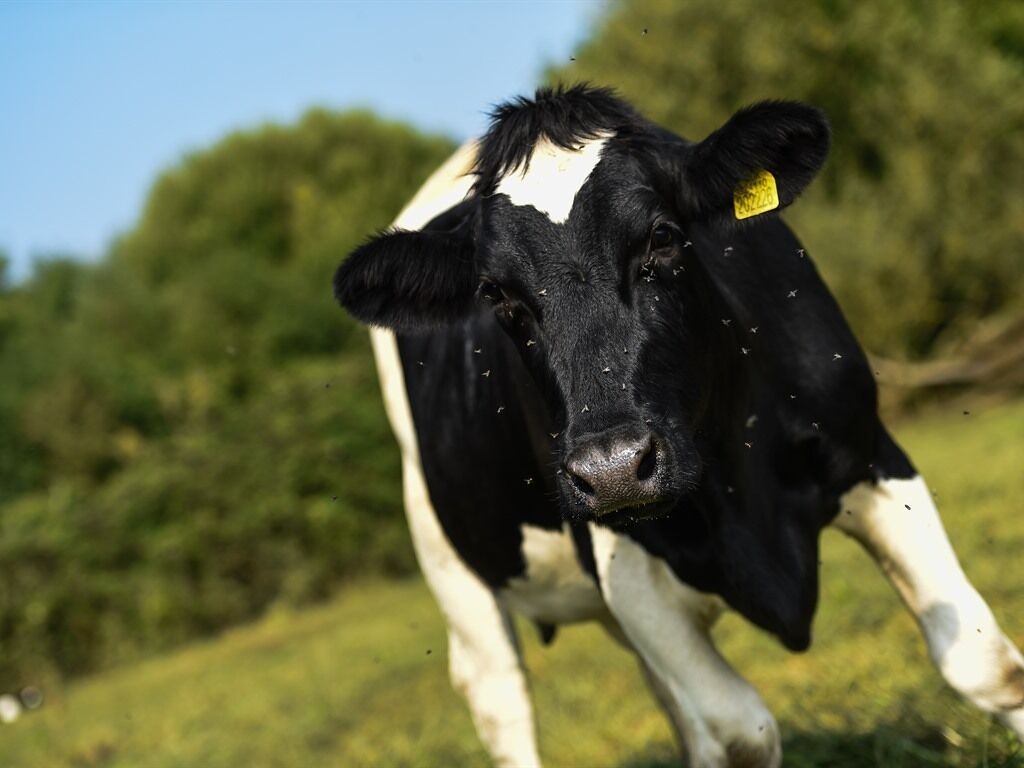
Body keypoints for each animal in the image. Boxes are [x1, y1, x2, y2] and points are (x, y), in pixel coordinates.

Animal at [333, 85, 1024, 767]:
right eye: (496, 295)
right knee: (500, 697)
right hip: (449, 562)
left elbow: (987, 665)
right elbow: (743, 733)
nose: (613, 469)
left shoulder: (871, 454)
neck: (737, 472)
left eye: (662, 238)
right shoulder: (623, 559)